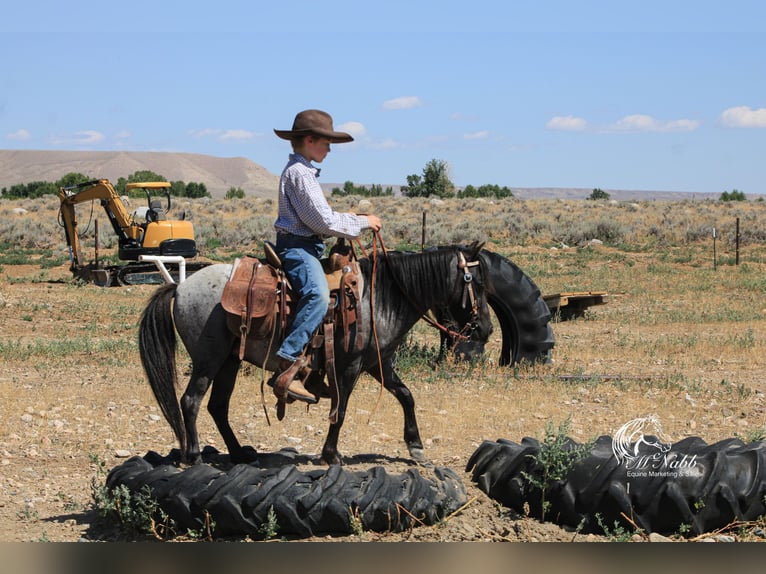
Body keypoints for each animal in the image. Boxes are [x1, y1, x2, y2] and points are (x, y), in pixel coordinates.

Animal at [140, 243, 496, 468]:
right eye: (476, 283)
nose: (486, 329)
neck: (380, 298)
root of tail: (180, 288)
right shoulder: (350, 366)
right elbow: (341, 409)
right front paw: (331, 455)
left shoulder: (378, 364)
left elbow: (406, 396)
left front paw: (416, 446)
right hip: (208, 360)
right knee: (191, 401)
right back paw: (194, 455)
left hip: (229, 361)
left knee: (217, 406)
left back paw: (240, 454)